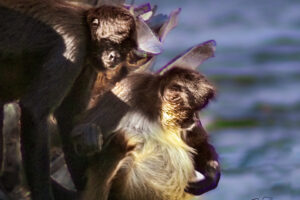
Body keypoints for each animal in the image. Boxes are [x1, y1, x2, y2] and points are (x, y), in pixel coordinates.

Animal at [0, 0, 161, 199]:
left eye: (124, 48)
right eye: (112, 41)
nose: (114, 57)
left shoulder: (87, 61)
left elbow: (68, 116)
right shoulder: (74, 43)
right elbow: (35, 111)